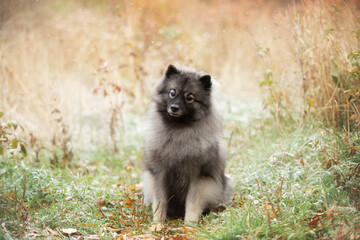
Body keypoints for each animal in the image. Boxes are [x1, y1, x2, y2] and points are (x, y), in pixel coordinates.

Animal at [142, 64, 232, 223]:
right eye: (172, 93)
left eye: (189, 97)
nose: (174, 108)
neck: (179, 130)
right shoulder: (160, 173)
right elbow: (159, 201)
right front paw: (157, 223)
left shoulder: (196, 175)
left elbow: (192, 202)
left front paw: (190, 224)